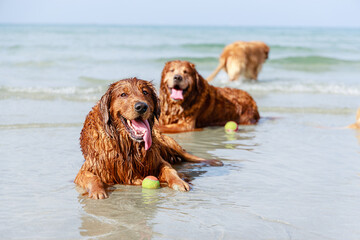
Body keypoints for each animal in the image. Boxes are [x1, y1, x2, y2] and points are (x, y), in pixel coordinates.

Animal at [75, 78, 222, 199]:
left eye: (145, 92)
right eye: (123, 94)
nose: (141, 106)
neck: (128, 144)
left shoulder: (156, 159)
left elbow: (171, 171)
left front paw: (180, 182)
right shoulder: (90, 167)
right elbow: (92, 177)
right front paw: (98, 191)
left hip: (166, 142)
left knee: (188, 154)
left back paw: (213, 161)